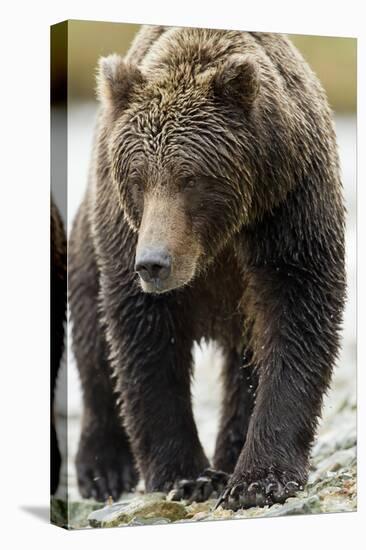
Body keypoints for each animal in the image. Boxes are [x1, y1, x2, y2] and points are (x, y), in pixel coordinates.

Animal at [68, 23, 346, 512]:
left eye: (190, 178)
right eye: (137, 179)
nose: (153, 263)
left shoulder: (289, 206)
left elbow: (297, 317)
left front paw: (260, 479)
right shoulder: (125, 236)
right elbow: (146, 342)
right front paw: (187, 476)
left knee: (245, 365)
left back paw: (231, 453)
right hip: (88, 245)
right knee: (94, 346)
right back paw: (104, 469)